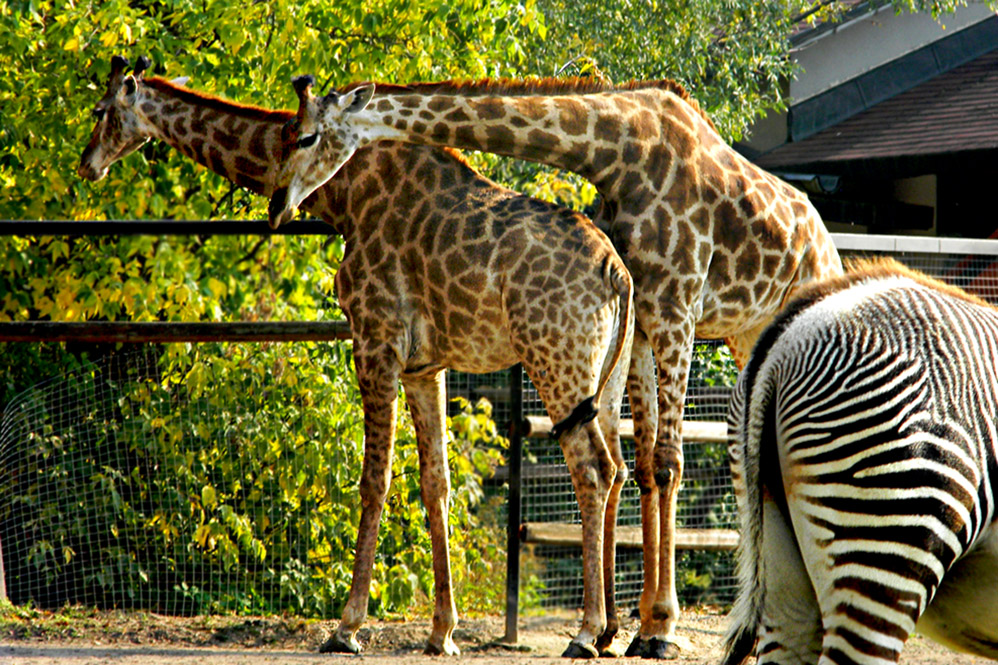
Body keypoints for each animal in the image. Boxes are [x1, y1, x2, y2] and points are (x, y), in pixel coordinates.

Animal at [78, 58, 644, 660]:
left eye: (102, 110)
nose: (88, 164)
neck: (346, 197)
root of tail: (617, 272)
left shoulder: (374, 341)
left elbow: (375, 480)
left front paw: (346, 627)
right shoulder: (425, 367)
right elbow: (436, 483)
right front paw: (442, 633)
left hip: (556, 361)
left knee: (593, 469)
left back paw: (585, 632)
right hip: (606, 377)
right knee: (619, 469)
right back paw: (608, 630)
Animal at [270, 75, 848, 656]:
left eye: (307, 136)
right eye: (288, 133)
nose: (278, 203)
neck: (617, 152)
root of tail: (827, 242)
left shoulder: (677, 306)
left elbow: (667, 462)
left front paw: (661, 627)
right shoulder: (644, 317)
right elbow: (642, 464)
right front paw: (637, 625)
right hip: (745, 334)